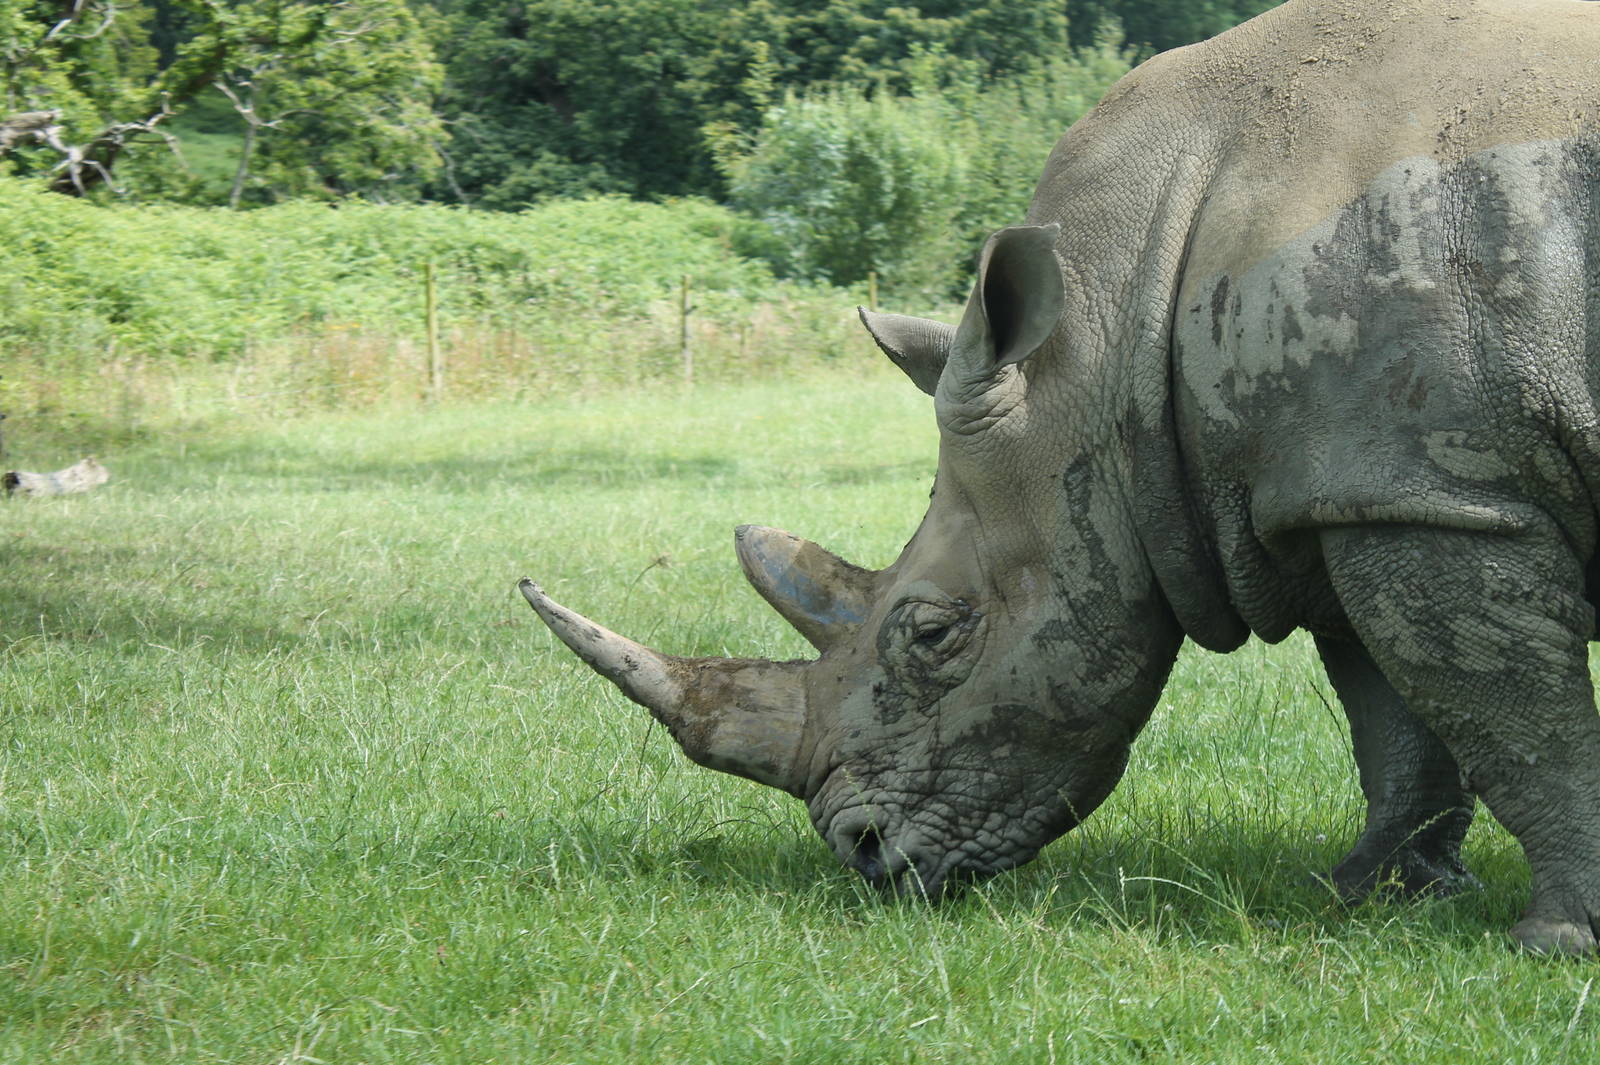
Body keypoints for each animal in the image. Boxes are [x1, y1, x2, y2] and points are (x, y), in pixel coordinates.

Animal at [521, 0, 1600, 954]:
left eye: (933, 635)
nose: (864, 855)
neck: (1111, 325)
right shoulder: (1353, 489)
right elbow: (1398, 716)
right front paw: (1371, 899)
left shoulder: (1435, 496)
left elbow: (1517, 721)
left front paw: (1556, 941)